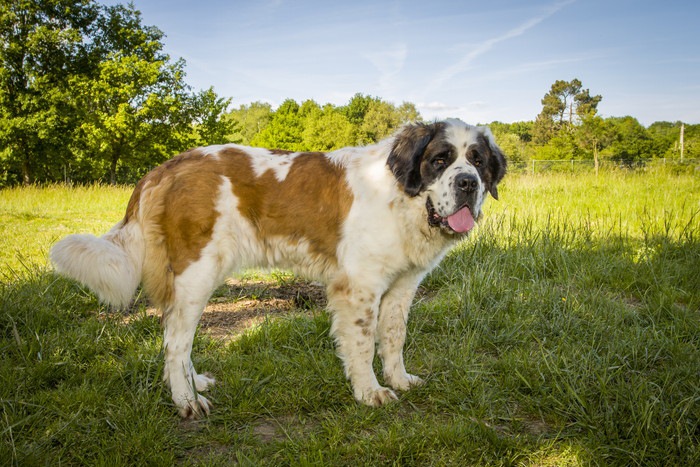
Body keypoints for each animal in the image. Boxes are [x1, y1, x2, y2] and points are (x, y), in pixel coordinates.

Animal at [52, 119, 506, 418]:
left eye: (478, 161)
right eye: (440, 160)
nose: (467, 183)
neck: (399, 196)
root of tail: (168, 165)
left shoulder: (402, 285)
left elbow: (393, 338)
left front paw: (399, 380)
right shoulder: (359, 288)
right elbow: (362, 345)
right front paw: (369, 392)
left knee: (177, 338)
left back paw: (194, 385)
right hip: (197, 273)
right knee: (174, 342)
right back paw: (187, 402)